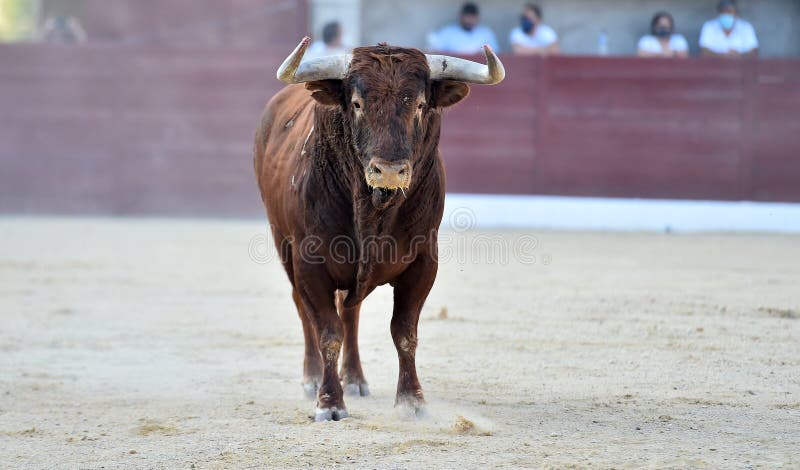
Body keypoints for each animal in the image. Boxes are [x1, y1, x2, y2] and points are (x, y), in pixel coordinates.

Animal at [254, 37, 504, 422]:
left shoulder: (423, 262)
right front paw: (330, 402)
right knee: (306, 309)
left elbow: (404, 331)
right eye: (357, 103)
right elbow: (327, 331)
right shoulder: (309, 263)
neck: (373, 210)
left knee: (350, 313)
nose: (388, 171)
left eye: (420, 104)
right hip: (282, 242)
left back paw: (356, 379)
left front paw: (412, 400)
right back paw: (312, 379)